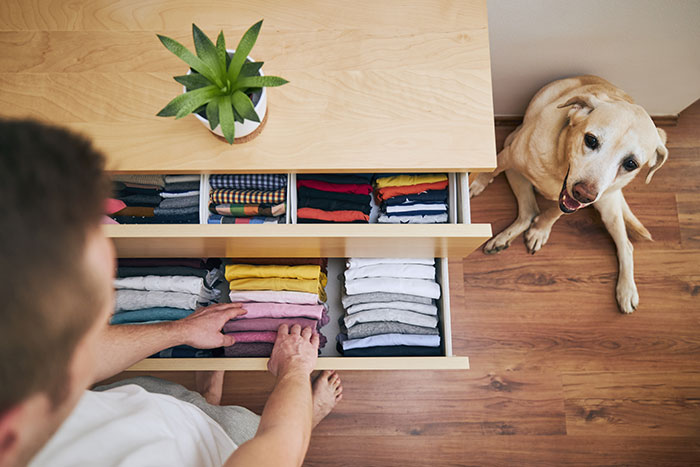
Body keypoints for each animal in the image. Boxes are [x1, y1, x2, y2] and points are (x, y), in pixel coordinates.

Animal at [470, 75, 668, 312]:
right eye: (591, 140)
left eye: (631, 163)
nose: (584, 194)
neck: (560, 165)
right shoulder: (507, 156)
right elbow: (489, 171)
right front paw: (477, 183)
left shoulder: (571, 203)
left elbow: (553, 214)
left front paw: (540, 230)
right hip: (514, 158)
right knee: (528, 212)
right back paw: (502, 239)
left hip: (608, 207)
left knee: (626, 245)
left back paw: (627, 290)